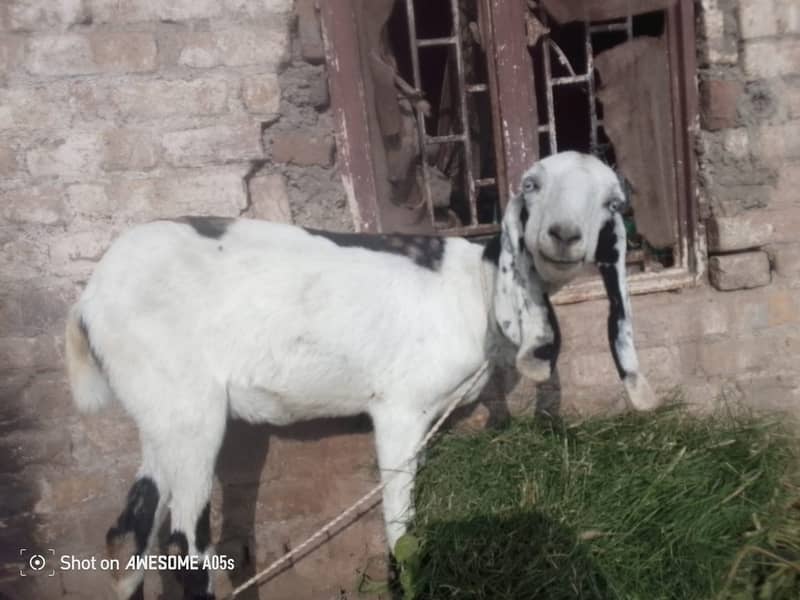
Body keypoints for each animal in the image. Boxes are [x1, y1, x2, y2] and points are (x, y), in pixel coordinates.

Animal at [67, 151, 656, 600]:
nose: (564, 235)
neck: (477, 286)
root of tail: (86, 305)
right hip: (193, 416)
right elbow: (400, 531)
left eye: (613, 202)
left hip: (161, 411)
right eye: (532, 184)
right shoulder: (400, 409)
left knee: (128, 537)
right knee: (183, 548)